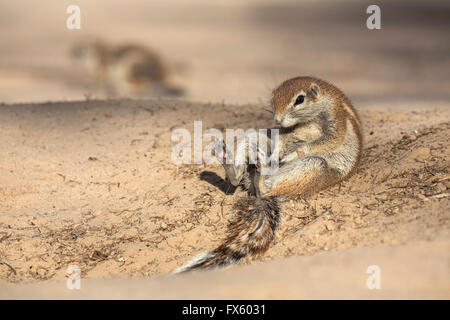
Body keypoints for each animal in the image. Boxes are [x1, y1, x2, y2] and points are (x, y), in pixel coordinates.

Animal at [172, 77, 362, 272]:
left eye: (300, 99)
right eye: (273, 99)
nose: (277, 119)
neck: (305, 121)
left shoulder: (336, 121)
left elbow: (325, 140)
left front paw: (291, 154)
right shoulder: (282, 132)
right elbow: (280, 138)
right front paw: (278, 151)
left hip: (316, 166)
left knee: (267, 188)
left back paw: (264, 170)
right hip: (256, 138)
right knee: (244, 166)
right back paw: (231, 158)